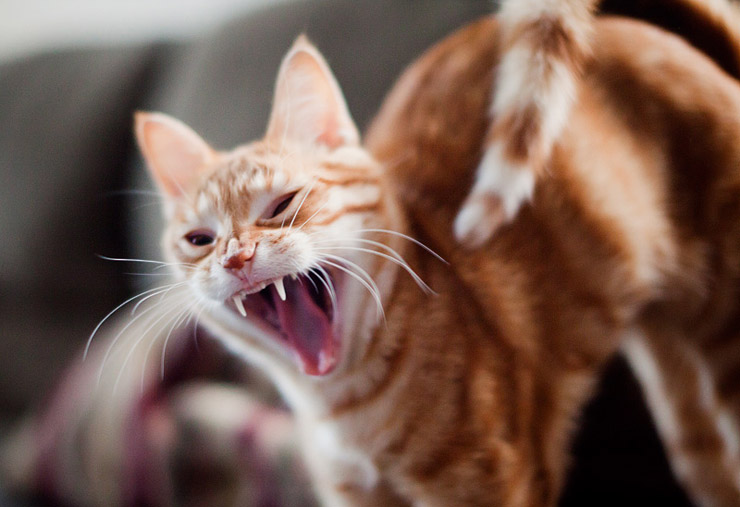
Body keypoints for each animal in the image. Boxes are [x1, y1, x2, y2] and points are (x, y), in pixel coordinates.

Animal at [136, 0, 740, 507]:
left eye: (282, 204)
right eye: (200, 240)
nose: (236, 257)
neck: (345, 414)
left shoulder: (487, 485)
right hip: (680, 398)